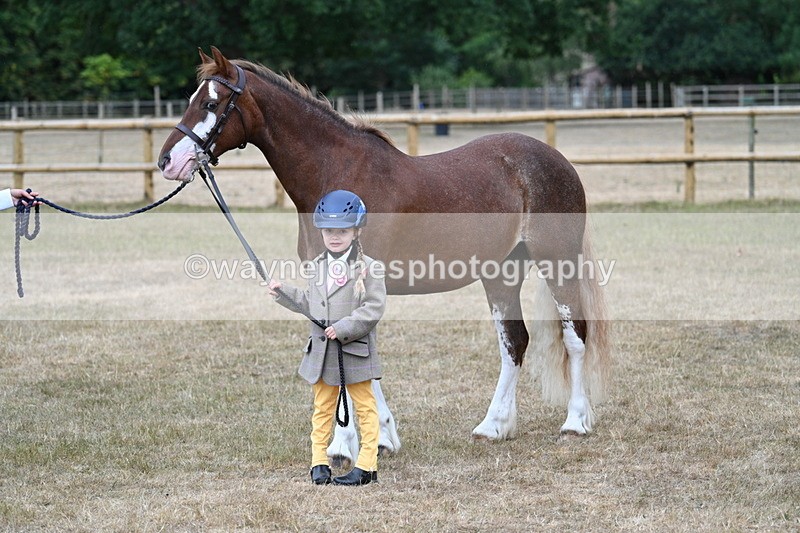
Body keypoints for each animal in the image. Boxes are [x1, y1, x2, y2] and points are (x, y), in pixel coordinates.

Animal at [158, 47, 611, 466]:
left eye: (211, 103)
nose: (168, 161)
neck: (337, 179)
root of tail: (557, 161)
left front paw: (347, 445)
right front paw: (379, 437)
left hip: (557, 263)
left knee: (575, 336)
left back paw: (575, 421)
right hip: (501, 272)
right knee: (514, 342)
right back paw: (493, 426)